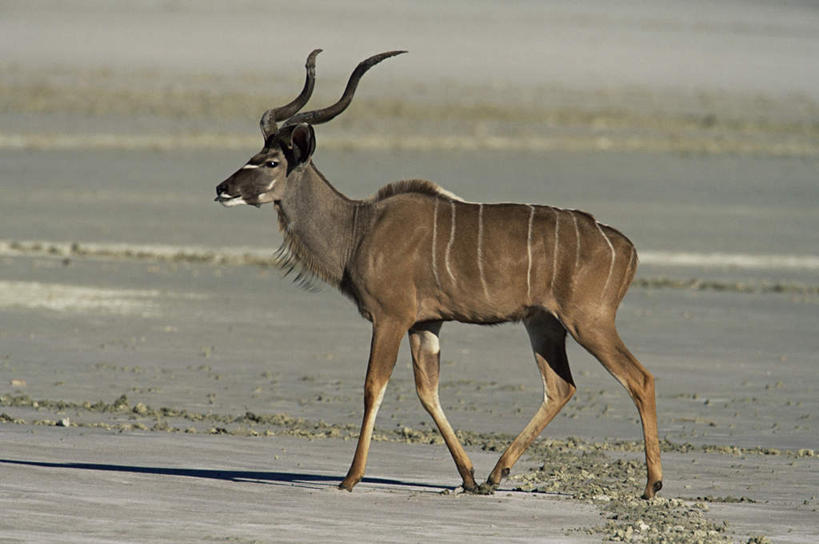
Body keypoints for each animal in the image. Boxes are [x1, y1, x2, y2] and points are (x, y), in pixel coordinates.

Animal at [215, 50, 664, 498]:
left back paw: (651, 485)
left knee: (639, 379)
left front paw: (350, 477)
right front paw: (467, 476)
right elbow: (427, 391)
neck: (358, 228)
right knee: (560, 387)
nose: (222, 188)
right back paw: (495, 474)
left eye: (271, 161)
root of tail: (626, 248)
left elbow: (373, 387)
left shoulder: (391, 318)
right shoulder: (426, 324)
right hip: (544, 324)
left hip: (589, 321)